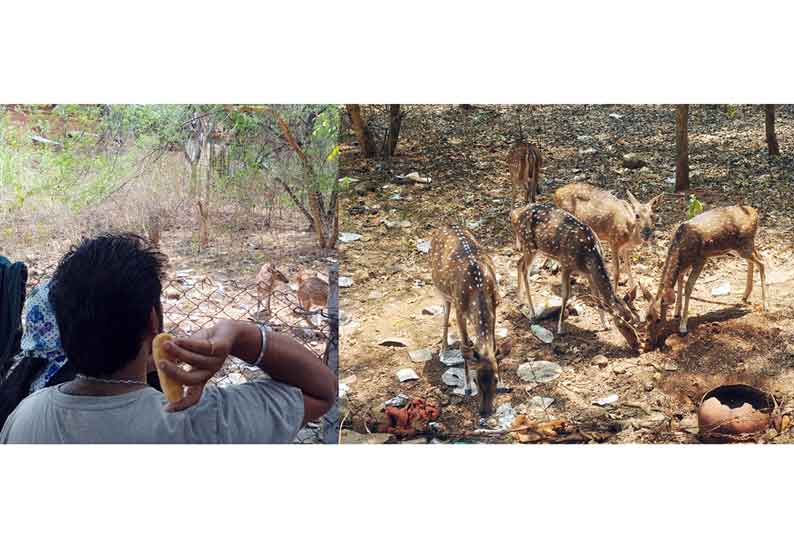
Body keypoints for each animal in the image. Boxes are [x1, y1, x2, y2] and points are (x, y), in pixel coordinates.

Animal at [426, 223, 502, 418]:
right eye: (476, 380)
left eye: (495, 379)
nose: (485, 411)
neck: (478, 288)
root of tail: (444, 225)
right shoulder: (460, 311)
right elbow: (465, 347)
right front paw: (467, 387)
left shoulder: (495, 306)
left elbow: (493, 342)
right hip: (442, 292)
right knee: (445, 317)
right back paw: (443, 351)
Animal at [508, 204, 644, 352]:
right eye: (622, 323)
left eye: (633, 319)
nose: (637, 344)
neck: (588, 255)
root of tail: (514, 214)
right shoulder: (566, 264)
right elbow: (565, 295)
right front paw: (560, 328)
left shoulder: (589, 274)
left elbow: (596, 297)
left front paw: (605, 324)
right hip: (530, 246)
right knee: (525, 270)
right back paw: (532, 312)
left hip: (531, 249)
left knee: (518, 263)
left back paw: (520, 300)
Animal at [640, 206, 764, 346]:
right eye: (646, 316)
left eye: (658, 320)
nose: (648, 340)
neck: (680, 249)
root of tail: (755, 214)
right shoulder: (685, 264)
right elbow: (680, 279)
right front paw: (676, 312)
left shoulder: (700, 260)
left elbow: (688, 287)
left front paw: (683, 326)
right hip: (744, 247)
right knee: (755, 260)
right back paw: (745, 296)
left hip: (744, 244)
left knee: (762, 263)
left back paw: (765, 305)